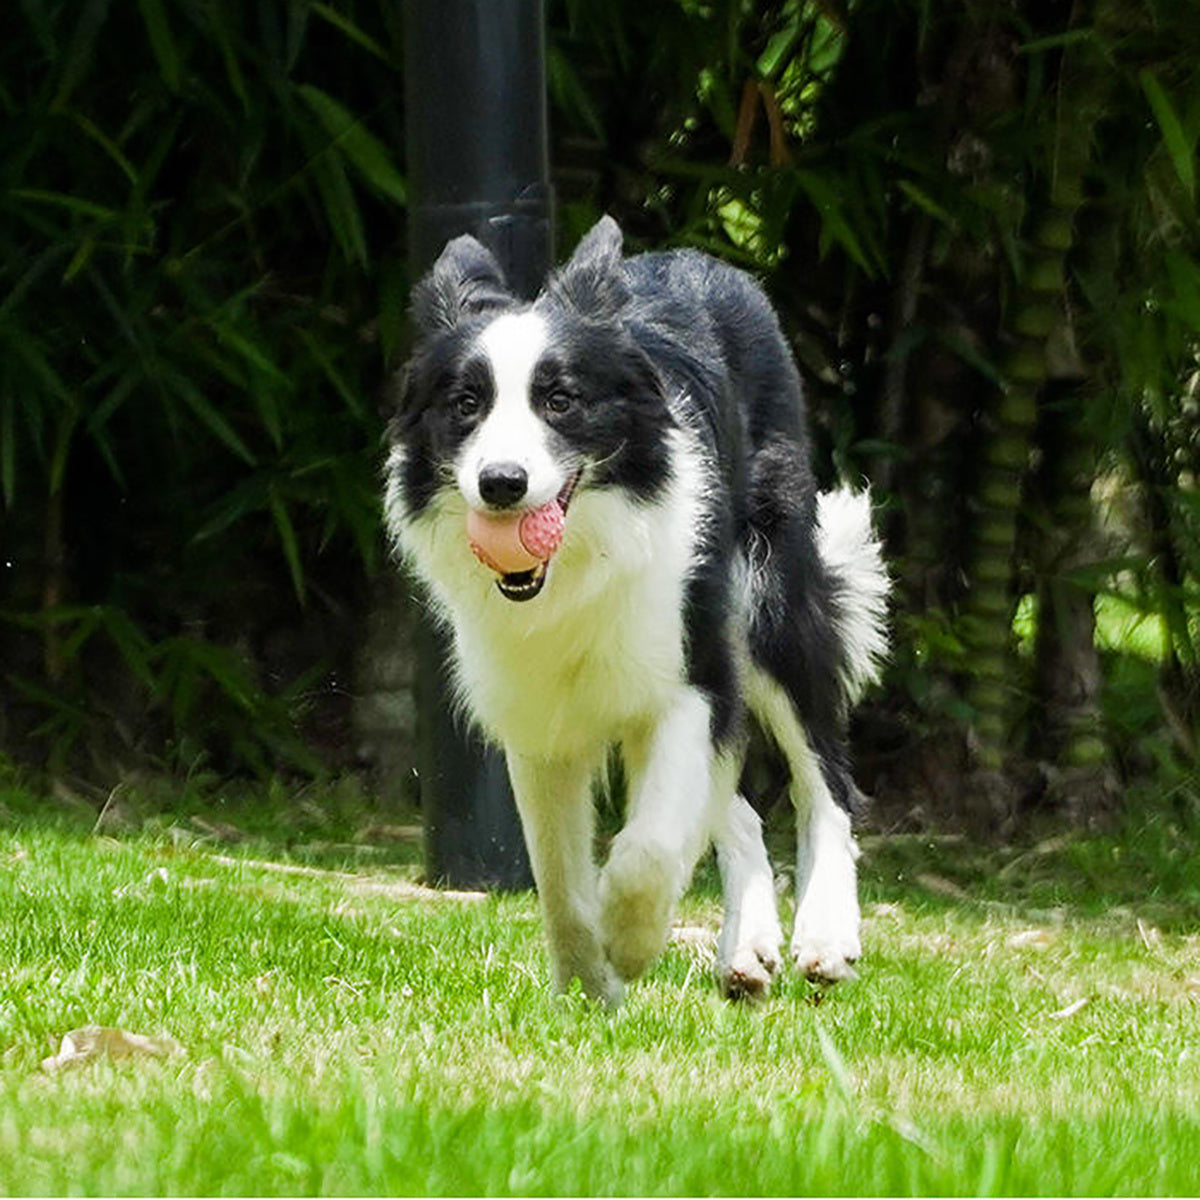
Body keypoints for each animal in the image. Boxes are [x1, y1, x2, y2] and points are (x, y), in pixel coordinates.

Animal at [388, 218, 888, 1003]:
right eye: (465, 404)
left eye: (560, 400)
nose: (502, 483)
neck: (578, 564)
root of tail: (702, 262)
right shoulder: (539, 719)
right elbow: (559, 878)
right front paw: (587, 989)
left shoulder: (692, 676)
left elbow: (649, 846)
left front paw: (628, 938)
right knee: (739, 808)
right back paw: (746, 949)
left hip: (769, 602)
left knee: (825, 781)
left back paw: (826, 937)